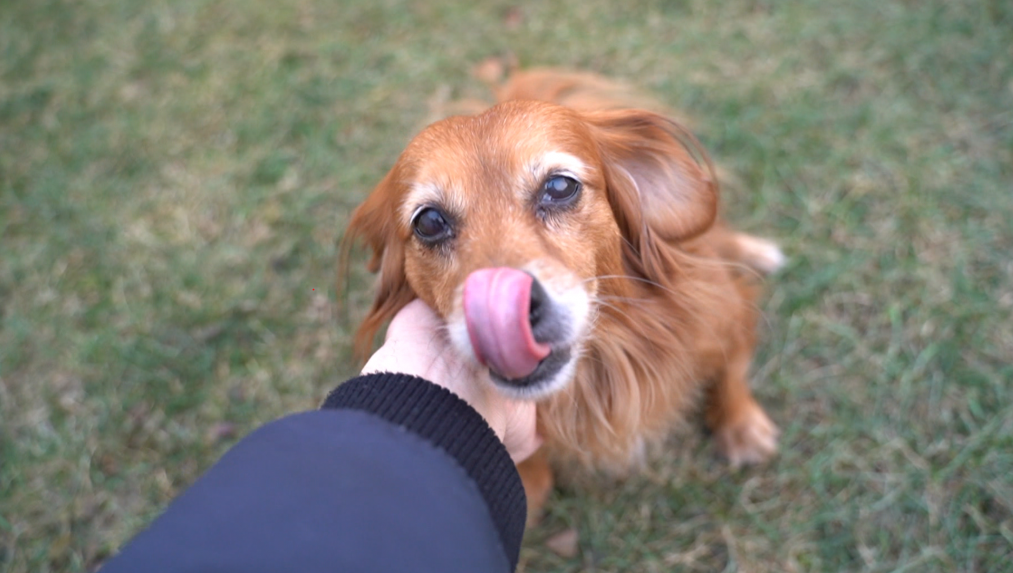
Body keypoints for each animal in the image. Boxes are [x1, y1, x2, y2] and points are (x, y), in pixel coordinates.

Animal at [344, 67, 786, 522]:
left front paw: (741, 424)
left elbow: (733, 366)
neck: (599, 373)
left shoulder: (723, 315)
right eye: (429, 222)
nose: (511, 312)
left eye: (558, 186)